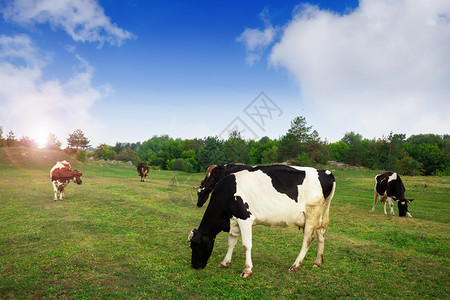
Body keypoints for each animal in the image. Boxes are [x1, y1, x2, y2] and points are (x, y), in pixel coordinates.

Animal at [188, 165, 336, 278]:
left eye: (195, 245)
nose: (195, 266)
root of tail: (324, 172)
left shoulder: (245, 217)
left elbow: (246, 245)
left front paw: (247, 270)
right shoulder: (234, 220)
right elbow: (231, 242)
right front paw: (225, 262)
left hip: (312, 213)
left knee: (308, 239)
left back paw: (295, 265)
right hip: (317, 216)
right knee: (321, 232)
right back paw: (318, 262)